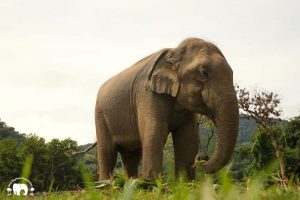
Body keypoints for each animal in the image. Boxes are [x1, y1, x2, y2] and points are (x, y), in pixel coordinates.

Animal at [68, 37, 239, 180]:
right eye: (204, 73)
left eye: (232, 73)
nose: (202, 158)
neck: (172, 52)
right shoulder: (147, 94)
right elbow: (156, 130)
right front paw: (152, 182)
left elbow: (187, 136)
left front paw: (185, 183)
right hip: (100, 115)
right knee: (108, 150)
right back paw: (108, 184)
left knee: (131, 155)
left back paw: (131, 182)